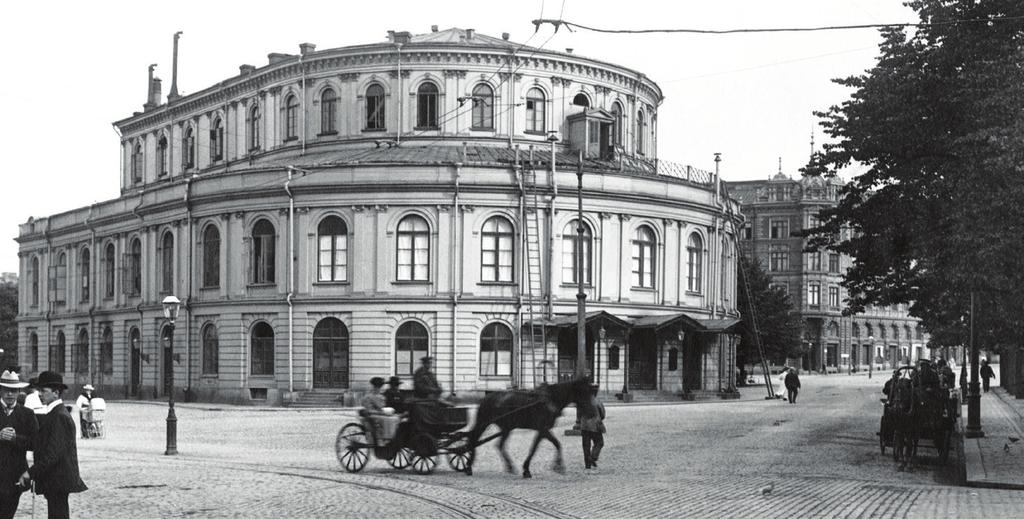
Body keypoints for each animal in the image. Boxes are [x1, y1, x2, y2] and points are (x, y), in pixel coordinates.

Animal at [462, 378, 593, 479]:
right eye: (583, 392)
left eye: (590, 391)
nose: (591, 411)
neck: (550, 399)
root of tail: (486, 398)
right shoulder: (543, 429)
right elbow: (546, 446)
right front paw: (557, 466)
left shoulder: (542, 431)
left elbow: (541, 447)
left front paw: (528, 469)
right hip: (483, 423)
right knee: (473, 440)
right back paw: (468, 466)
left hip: (506, 428)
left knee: (499, 445)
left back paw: (509, 467)